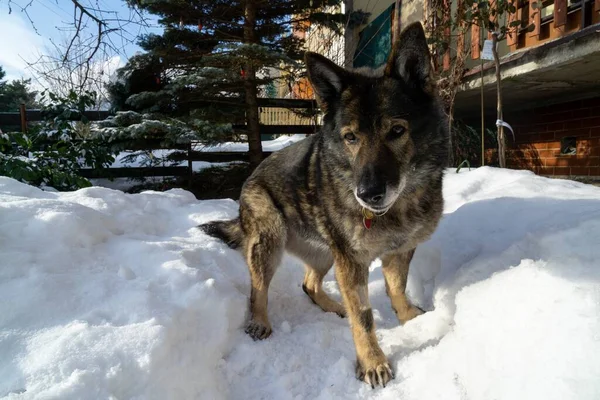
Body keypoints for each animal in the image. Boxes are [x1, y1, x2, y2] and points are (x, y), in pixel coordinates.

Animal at [199, 21, 448, 388]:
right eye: (350, 137)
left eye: (397, 131)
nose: (368, 194)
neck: (398, 206)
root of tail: (251, 176)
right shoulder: (352, 263)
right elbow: (364, 317)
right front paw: (373, 362)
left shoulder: (398, 252)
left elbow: (397, 289)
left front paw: (409, 319)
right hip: (271, 240)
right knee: (258, 288)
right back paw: (260, 321)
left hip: (325, 253)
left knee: (308, 284)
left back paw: (333, 306)